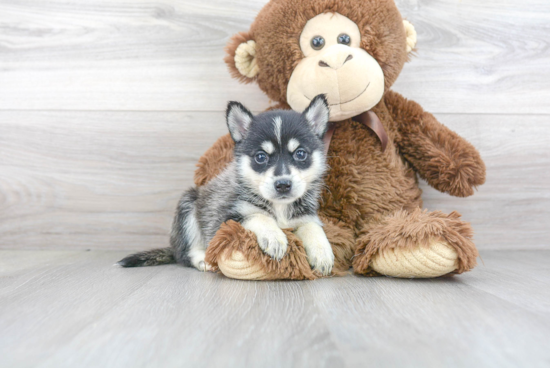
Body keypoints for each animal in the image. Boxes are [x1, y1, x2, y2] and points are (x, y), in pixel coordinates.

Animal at [119, 95, 336, 276]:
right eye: (260, 157)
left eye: (300, 154)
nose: (283, 184)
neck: (279, 208)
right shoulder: (227, 219)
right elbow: (259, 216)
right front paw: (274, 237)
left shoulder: (305, 216)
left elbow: (313, 227)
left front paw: (322, 253)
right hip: (188, 206)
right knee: (186, 253)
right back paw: (203, 260)